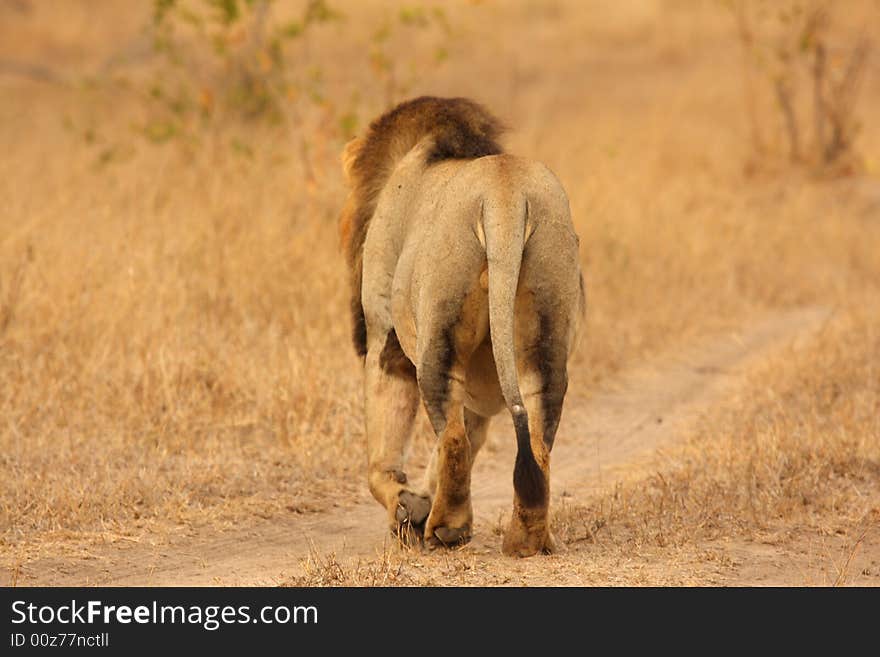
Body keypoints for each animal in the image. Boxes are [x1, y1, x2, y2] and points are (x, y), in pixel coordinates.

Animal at [336, 95, 584, 552]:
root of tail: (505, 195)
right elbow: (468, 437)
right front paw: (416, 504)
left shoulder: (384, 337)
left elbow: (383, 456)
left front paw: (407, 507)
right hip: (546, 318)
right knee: (536, 432)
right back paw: (526, 538)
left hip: (439, 331)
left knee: (450, 435)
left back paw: (446, 527)